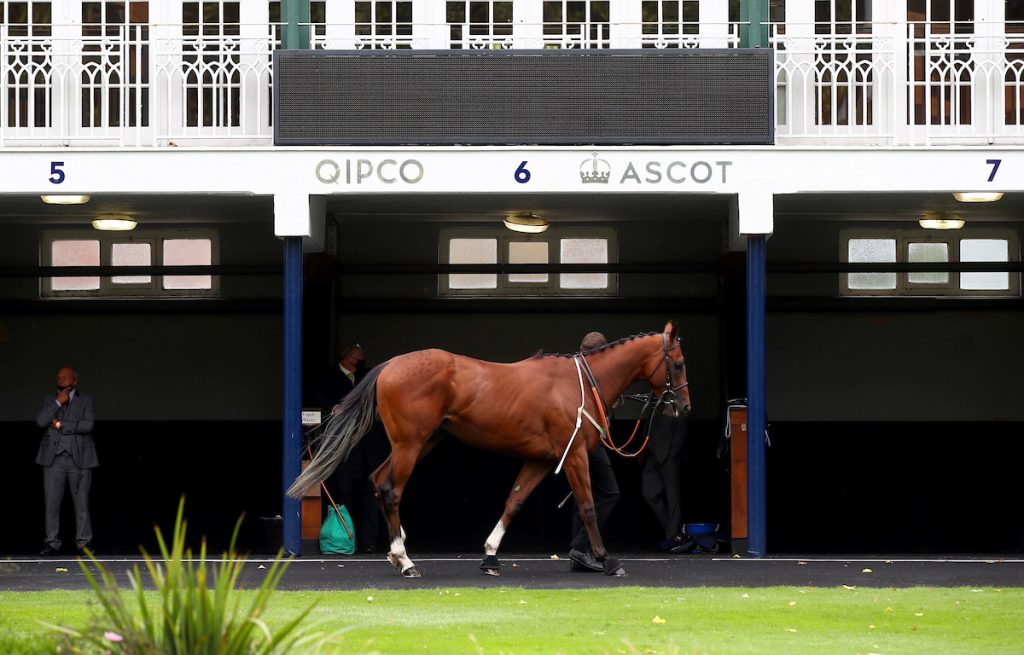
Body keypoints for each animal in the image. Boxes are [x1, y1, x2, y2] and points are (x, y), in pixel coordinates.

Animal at [284, 323, 692, 577]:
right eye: (678, 363)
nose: (684, 408)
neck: (578, 384)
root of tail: (391, 365)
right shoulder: (575, 454)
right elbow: (589, 506)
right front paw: (607, 560)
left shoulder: (540, 459)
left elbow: (514, 502)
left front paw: (490, 556)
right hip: (410, 444)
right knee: (390, 489)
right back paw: (405, 560)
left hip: (422, 442)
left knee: (377, 479)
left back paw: (397, 553)